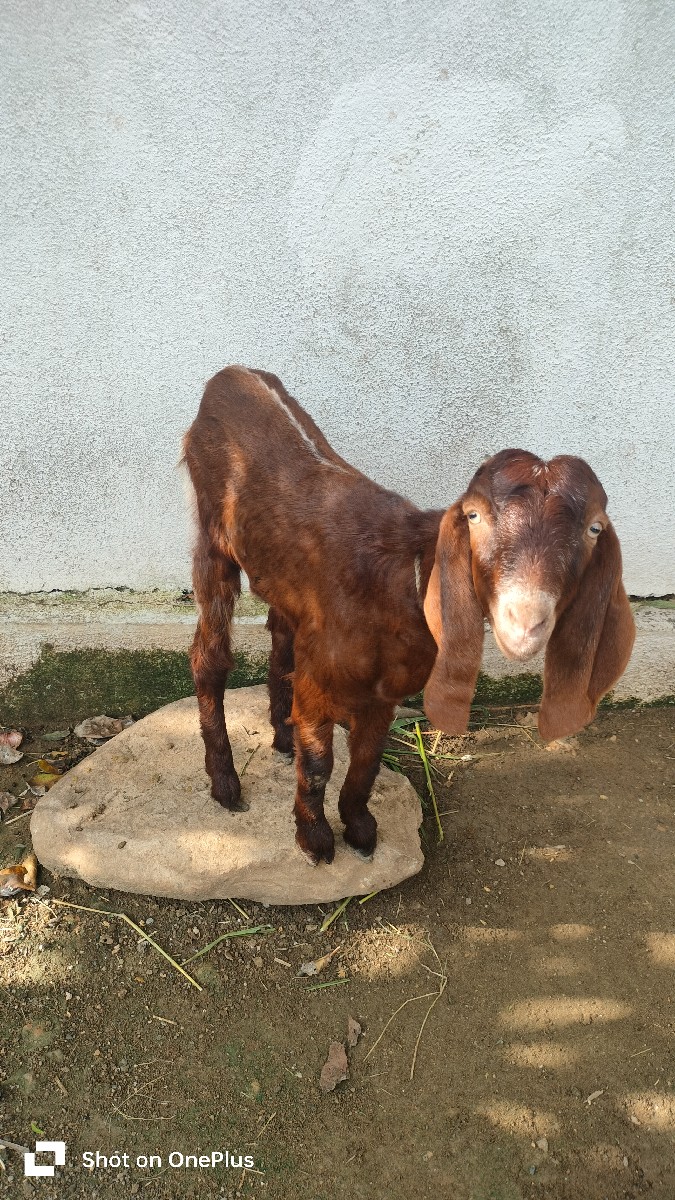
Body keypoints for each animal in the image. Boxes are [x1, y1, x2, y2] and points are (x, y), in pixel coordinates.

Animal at [182, 366, 635, 865]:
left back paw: (282, 736)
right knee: (209, 657)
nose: (525, 621)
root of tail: (231, 373)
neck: (399, 585)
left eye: (594, 528)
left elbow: (367, 761)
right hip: (211, 537)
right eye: (474, 516)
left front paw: (360, 829)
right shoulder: (321, 681)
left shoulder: (386, 691)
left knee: (280, 638)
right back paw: (225, 783)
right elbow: (320, 764)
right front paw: (315, 838)